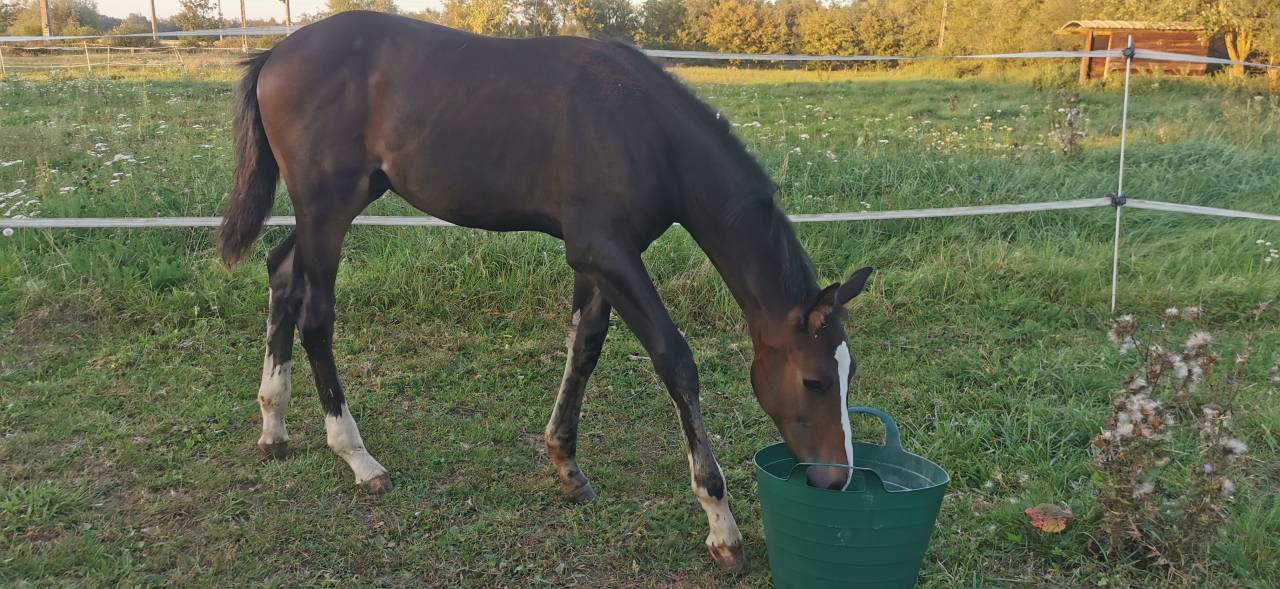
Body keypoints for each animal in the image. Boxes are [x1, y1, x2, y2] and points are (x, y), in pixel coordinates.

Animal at [218, 11, 873, 572]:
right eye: (814, 381)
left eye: (849, 375)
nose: (837, 478)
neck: (643, 127)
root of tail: (277, 52)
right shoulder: (607, 252)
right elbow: (675, 361)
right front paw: (722, 525)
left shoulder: (601, 258)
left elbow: (584, 347)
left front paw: (566, 465)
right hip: (328, 207)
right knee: (316, 317)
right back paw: (358, 457)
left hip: (339, 205)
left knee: (281, 274)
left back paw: (273, 426)